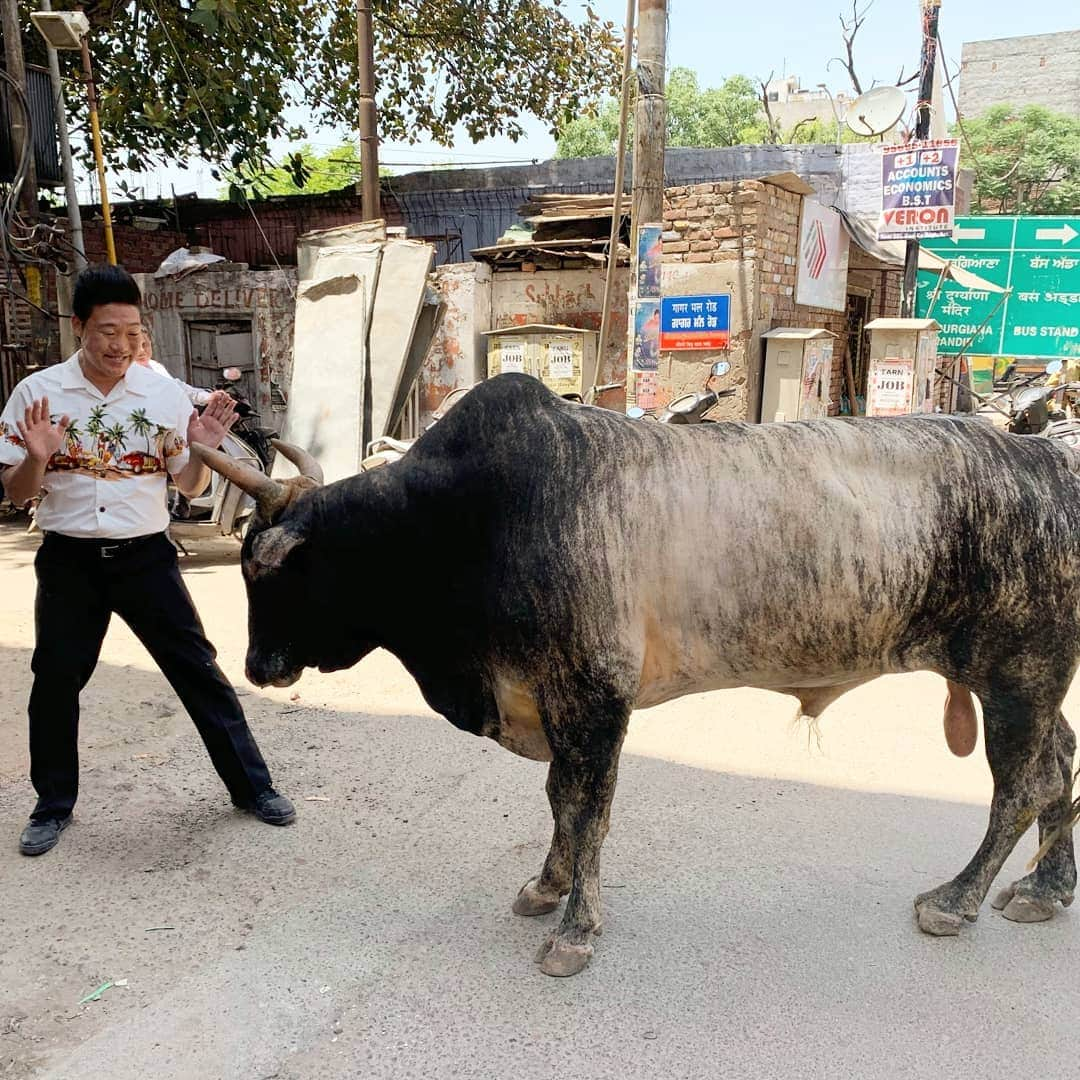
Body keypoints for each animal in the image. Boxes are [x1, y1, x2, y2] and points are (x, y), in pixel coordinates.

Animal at [196, 375, 1080, 976]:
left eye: (266, 571)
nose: (256, 666)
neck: (457, 522)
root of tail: (1053, 461)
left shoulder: (593, 698)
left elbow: (587, 811)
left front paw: (574, 931)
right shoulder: (555, 703)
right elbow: (562, 801)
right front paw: (546, 888)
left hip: (1017, 673)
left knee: (1022, 786)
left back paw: (955, 901)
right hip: (1032, 680)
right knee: (1060, 765)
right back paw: (1044, 891)